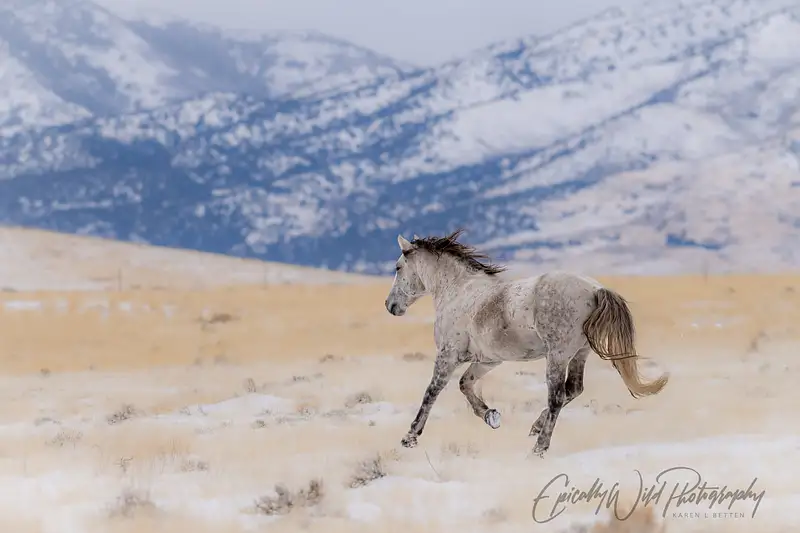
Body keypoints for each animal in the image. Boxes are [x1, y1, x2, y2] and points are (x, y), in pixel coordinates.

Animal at [383, 229, 669, 457]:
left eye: (397, 267)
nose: (390, 306)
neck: (458, 291)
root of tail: (595, 289)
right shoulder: (488, 360)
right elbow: (465, 385)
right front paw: (491, 416)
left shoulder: (448, 355)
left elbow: (431, 392)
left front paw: (410, 437)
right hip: (580, 353)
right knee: (574, 389)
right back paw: (535, 427)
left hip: (557, 355)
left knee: (557, 396)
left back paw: (539, 448)